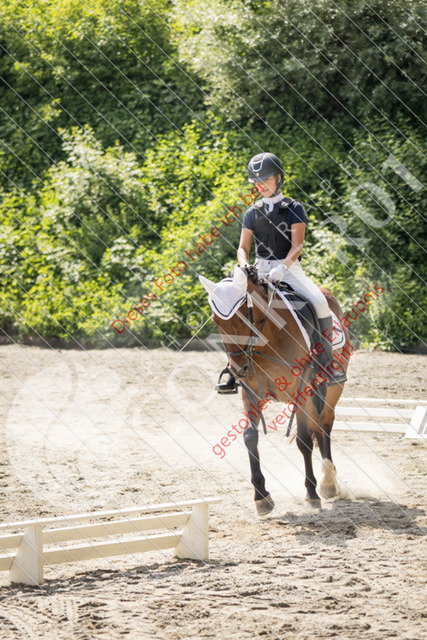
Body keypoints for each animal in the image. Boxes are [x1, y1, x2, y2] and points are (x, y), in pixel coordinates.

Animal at [199, 265, 351, 516]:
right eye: (216, 321)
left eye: (244, 317)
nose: (239, 369)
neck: (267, 338)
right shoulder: (249, 392)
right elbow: (250, 437)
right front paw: (261, 497)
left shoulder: (301, 391)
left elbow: (304, 441)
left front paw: (311, 494)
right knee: (318, 426)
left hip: (332, 388)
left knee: (325, 424)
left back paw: (328, 482)